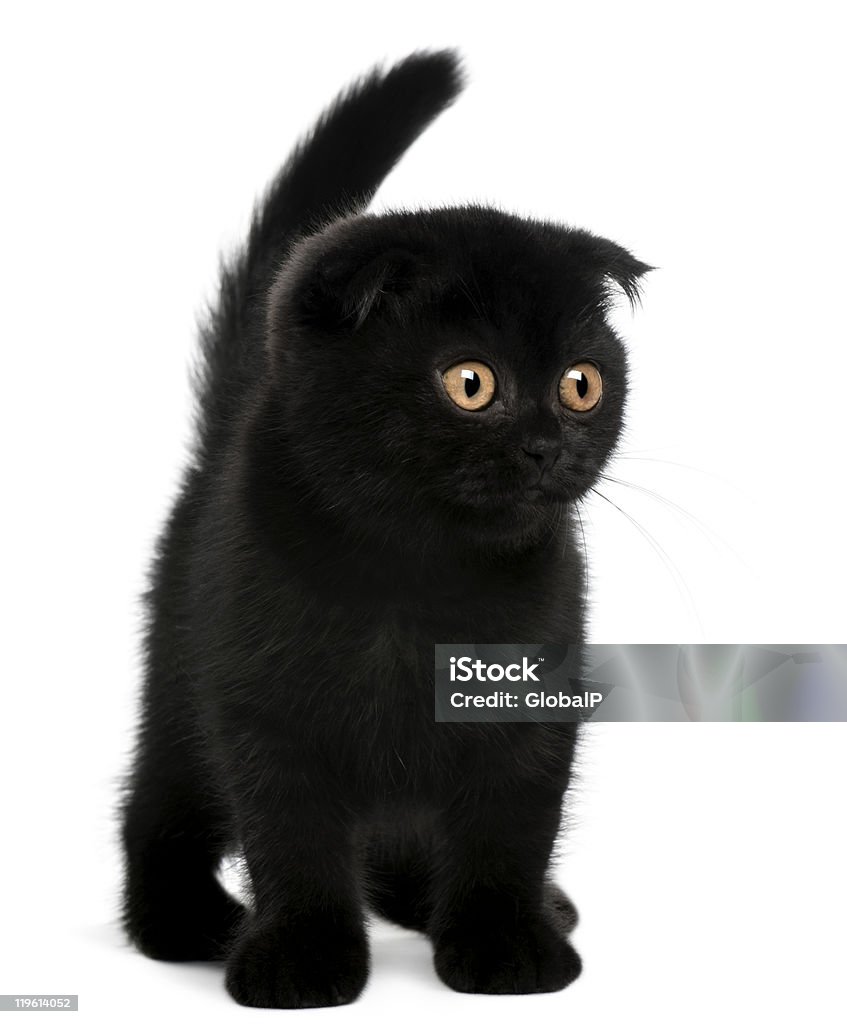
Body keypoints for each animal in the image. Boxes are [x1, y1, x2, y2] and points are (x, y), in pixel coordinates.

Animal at [117, 49, 647, 1007]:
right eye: (471, 382)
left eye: (581, 383)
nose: (548, 445)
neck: (418, 576)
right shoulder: (261, 711)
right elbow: (291, 839)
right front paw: (301, 959)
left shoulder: (528, 697)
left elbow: (512, 824)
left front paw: (507, 943)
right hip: (176, 669)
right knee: (159, 798)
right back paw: (182, 920)